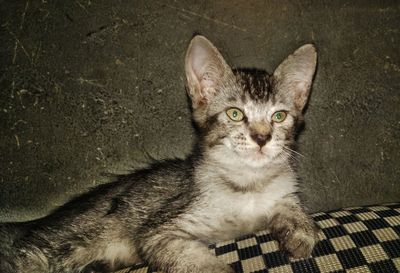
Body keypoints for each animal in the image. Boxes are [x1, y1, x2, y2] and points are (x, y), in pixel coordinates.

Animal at [0, 36, 318, 272]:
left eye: (279, 116)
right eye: (235, 114)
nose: (262, 138)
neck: (249, 184)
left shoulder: (283, 193)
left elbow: (293, 208)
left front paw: (300, 230)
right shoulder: (159, 231)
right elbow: (196, 260)